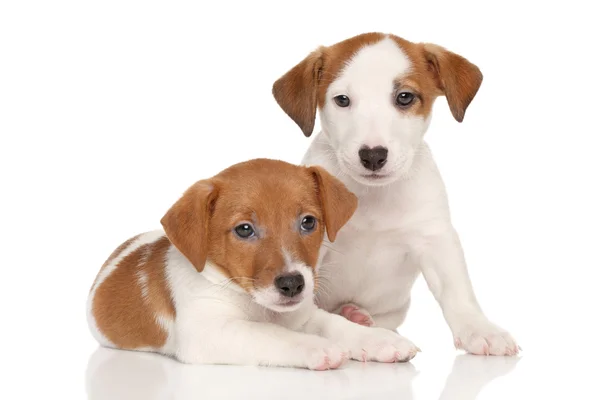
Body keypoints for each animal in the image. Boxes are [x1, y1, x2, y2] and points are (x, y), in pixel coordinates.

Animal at [85, 158, 422, 370]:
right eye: (244, 229)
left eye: (308, 222)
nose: (292, 284)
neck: (254, 302)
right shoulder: (210, 332)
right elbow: (271, 334)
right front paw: (316, 347)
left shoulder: (303, 314)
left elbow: (333, 325)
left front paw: (377, 340)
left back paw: (359, 317)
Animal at [274, 32, 520, 356]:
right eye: (342, 100)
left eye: (405, 97)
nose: (373, 155)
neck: (372, 197)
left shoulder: (435, 239)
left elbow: (457, 290)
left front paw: (480, 328)